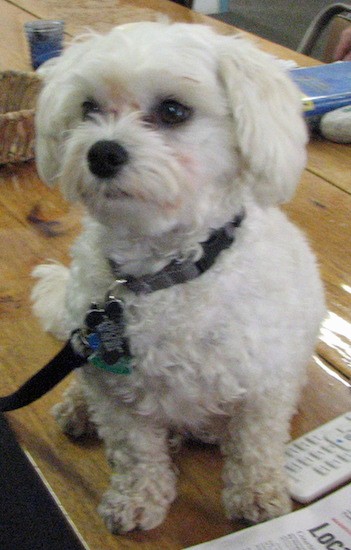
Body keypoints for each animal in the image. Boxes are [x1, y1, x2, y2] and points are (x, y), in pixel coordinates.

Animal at [31, 22, 326, 536]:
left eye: (173, 111)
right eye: (88, 108)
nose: (102, 152)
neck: (164, 275)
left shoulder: (267, 382)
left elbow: (255, 443)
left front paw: (256, 493)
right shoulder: (118, 399)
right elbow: (136, 454)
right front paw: (135, 499)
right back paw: (76, 408)